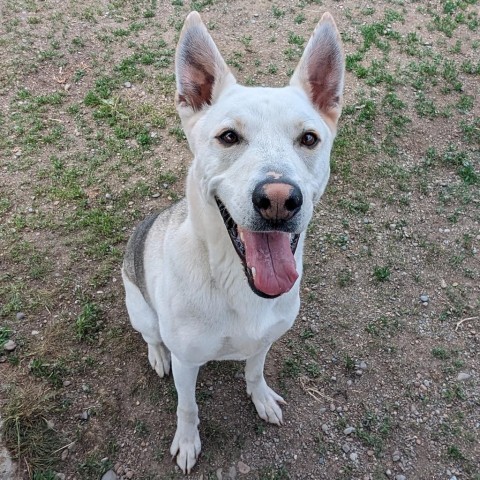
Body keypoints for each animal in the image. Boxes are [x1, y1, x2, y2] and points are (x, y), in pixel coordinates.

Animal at [122, 10, 344, 472]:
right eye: (228, 136)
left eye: (309, 138)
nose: (278, 200)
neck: (236, 283)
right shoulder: (188, 362)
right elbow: (187, 406)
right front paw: (188, 441)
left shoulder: (264, 341)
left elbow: (254, 371)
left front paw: (260, 398)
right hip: (140, 309)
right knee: (151, 336)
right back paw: (157, 355)